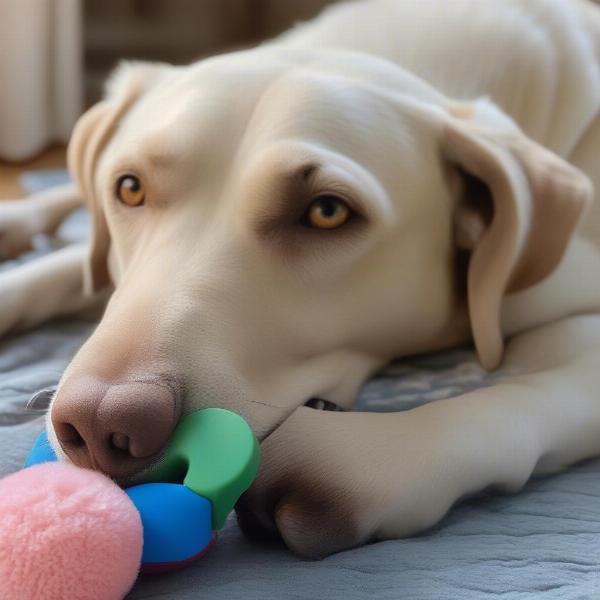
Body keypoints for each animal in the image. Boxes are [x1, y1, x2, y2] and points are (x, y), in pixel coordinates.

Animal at [1, 0, 600, 556]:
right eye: (129, 188)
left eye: (327, 212)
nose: (101, 425)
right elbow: (59, 271)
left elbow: (514, 398)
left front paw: (348, 457)